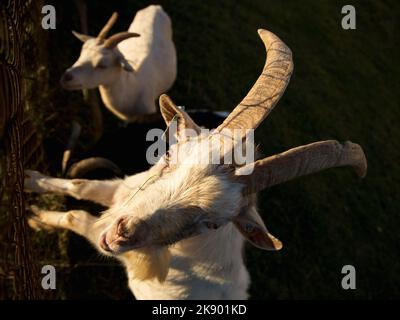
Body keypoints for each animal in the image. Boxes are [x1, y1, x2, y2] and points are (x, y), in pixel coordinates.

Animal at [26, 28, 368, 298]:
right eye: (167, 157)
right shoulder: (125, 189)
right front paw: (29, 179)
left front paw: (35, 217)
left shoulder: (113, 241)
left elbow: (76, 216)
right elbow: (80, 185)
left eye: (212, 223)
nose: (122, 234)